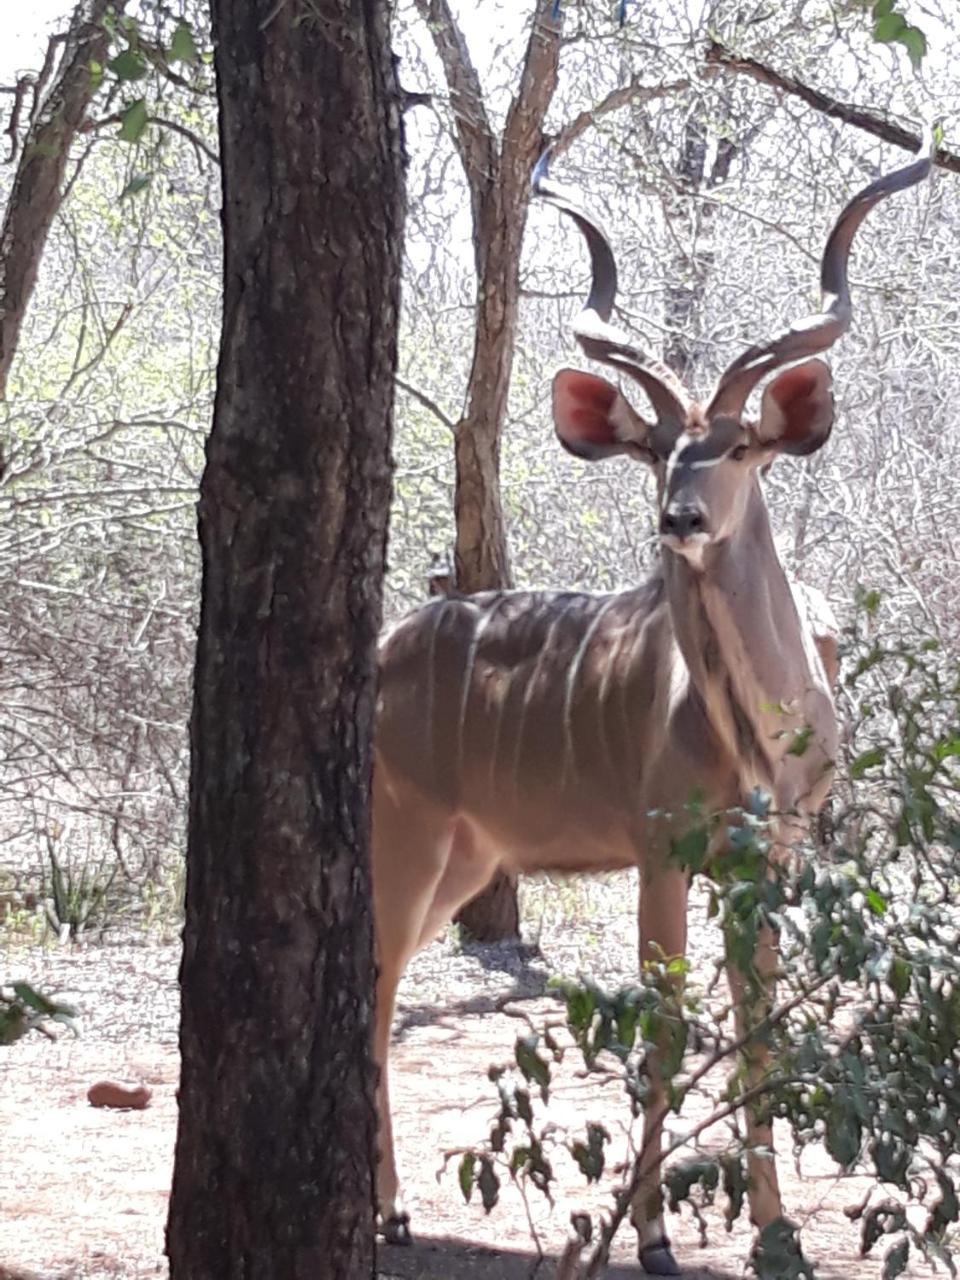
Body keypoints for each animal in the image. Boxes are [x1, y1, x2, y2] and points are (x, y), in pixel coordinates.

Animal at [373, 135, 931, 1264]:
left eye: (741, 446)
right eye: (659, 451)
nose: (681, 517)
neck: (756, 736)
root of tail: (375, 648)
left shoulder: (770, 860)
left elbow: (757, 1028)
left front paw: (776, 1234)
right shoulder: (662, 852)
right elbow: (665, 1030)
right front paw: (656, 1235)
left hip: (466, 862)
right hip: (400, 841)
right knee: (364, 991)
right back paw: (390, 1209)